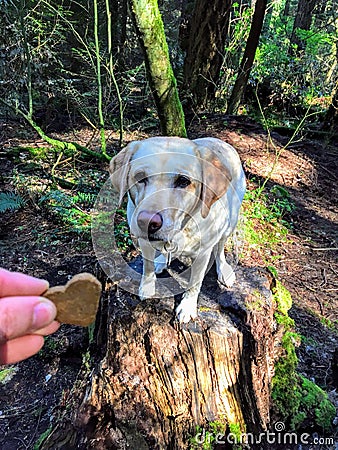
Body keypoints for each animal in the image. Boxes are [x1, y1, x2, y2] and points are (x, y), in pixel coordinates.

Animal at [111, 137, 246, 324]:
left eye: (183, 181)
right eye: (140, 177)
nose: (146, 222)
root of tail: (221, 141)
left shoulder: (203, 254)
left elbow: (195, 282)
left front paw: (187, 306)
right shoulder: (144, 242)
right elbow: (147, 266)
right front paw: (147, 287)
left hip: (230, 223)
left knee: (219, 250)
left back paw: (224, 271)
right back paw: (161, 261)